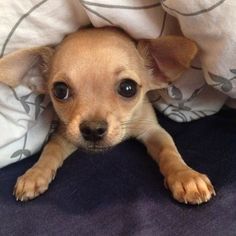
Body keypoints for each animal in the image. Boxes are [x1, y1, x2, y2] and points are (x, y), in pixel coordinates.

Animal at [0, 26, 216, 204]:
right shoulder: (65, 134)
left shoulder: (152, 130)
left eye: (128, 88)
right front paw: (35, 174)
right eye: (60, 91)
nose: (93, 129)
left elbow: (168, 150)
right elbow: (50, 149)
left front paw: (185, 176)